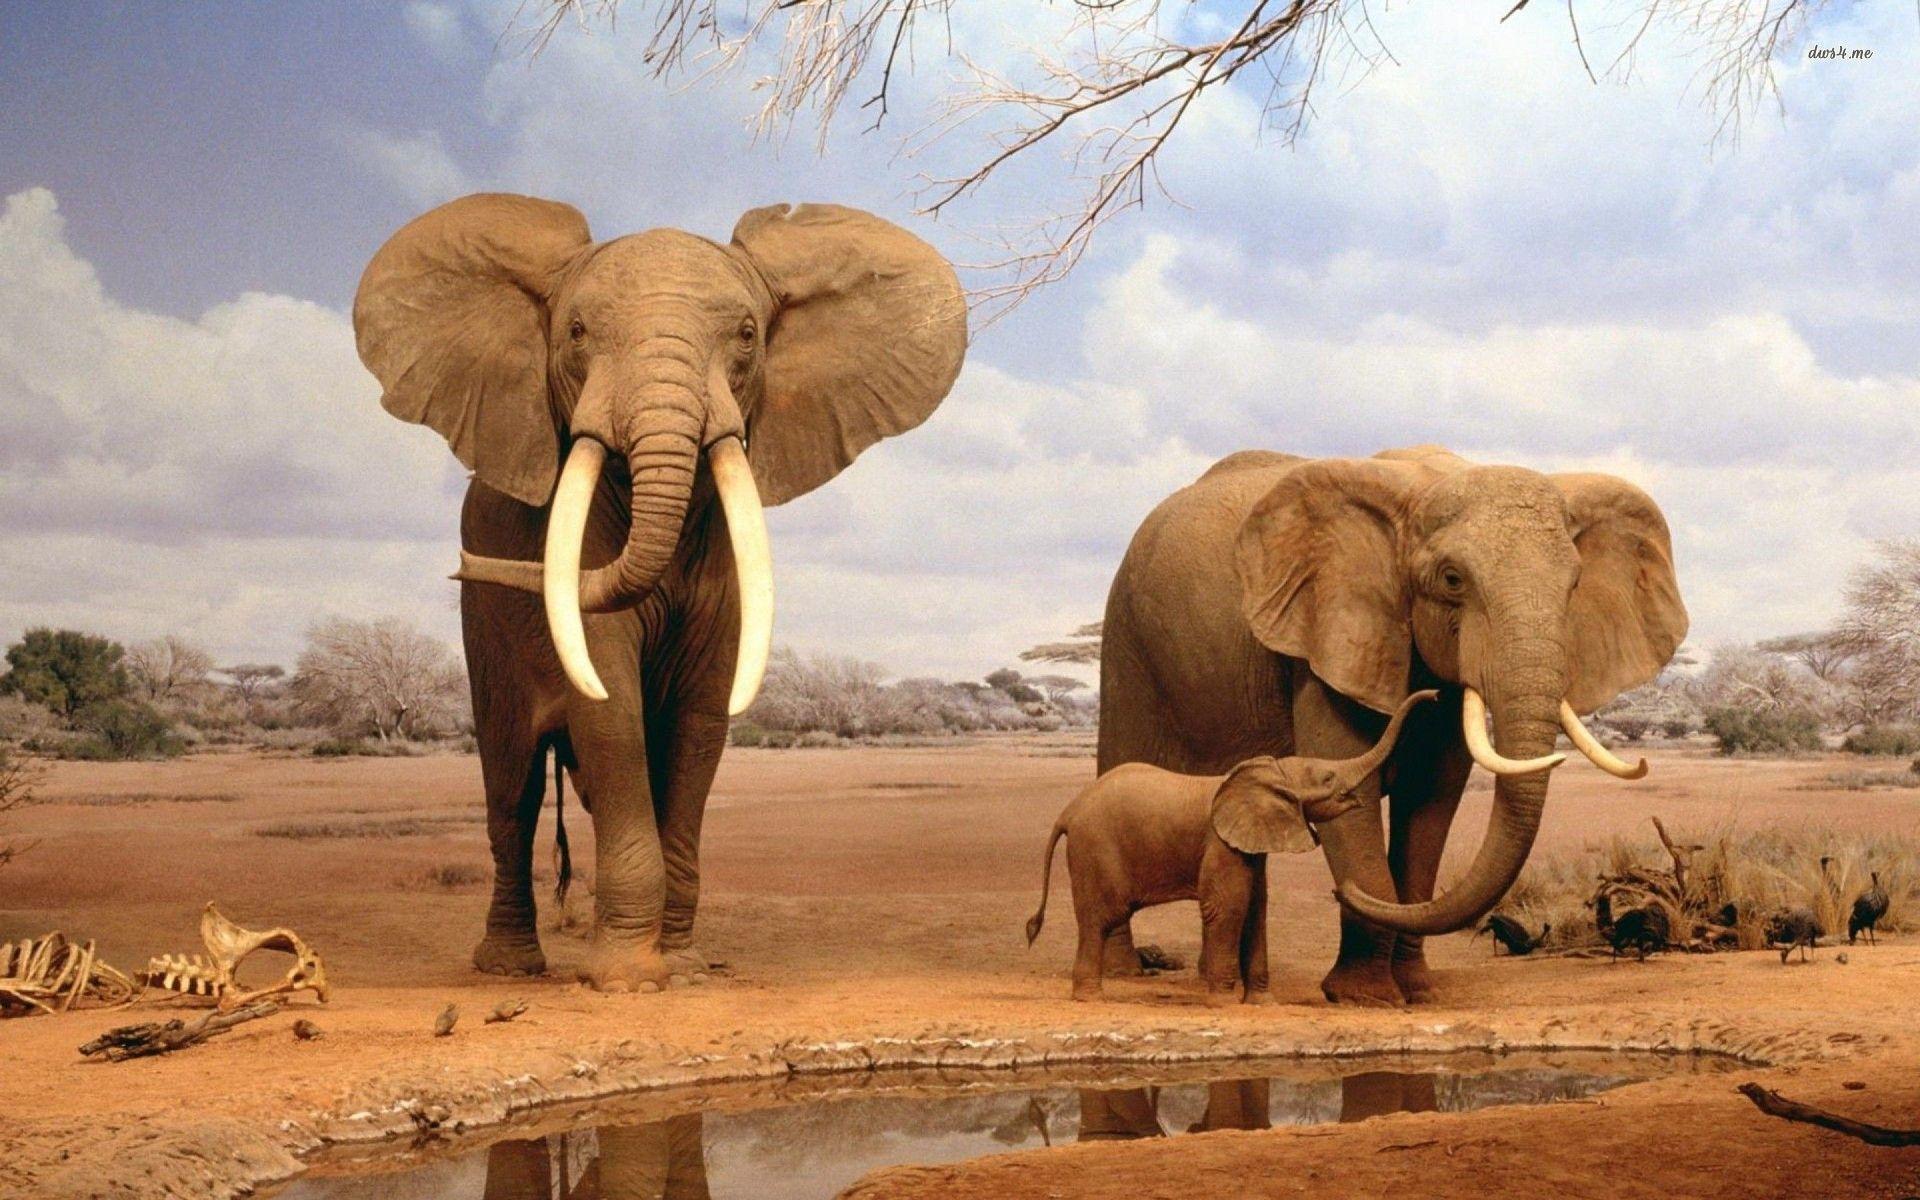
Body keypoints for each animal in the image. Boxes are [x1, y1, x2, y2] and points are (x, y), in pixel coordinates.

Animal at [353, 193, 966, 990]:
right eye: (577, 332)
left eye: (747, 335)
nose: (463, 564)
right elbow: (610, 709)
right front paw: (627, 980)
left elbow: (700, 723)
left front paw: (685, 966)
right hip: (482, 629)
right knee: (512, 789)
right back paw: (510, 968)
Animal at [1026, 689, 1439, 1003]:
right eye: (1327, 777)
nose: (1434, 695)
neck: (1268, 772)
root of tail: (1068, 811)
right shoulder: (1220, 843)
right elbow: (1228, 907)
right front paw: (1223, 1003)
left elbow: (1256, 909)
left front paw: (1262, 1003)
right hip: (1095, 849)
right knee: (1100, 918)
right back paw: (1090, 997)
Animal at [1098, 445, 1686, 1007]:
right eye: (1452, 580)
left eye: (1575, 584)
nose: (1342, 891)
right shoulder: (1329, 638)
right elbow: (1351, 786)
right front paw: (1367, 997)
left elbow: (1431, 801)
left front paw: (1418, 992)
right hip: (1127, 637)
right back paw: (1122, 972)